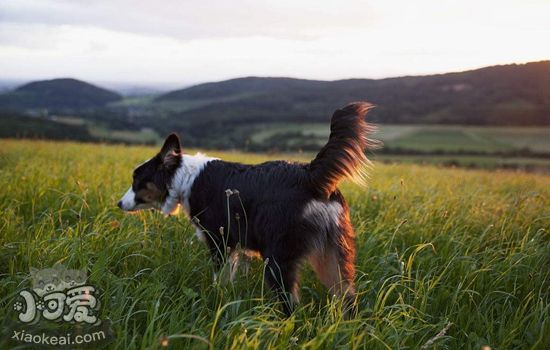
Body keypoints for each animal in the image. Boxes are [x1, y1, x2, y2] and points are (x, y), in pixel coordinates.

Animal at [119, 102, 380, 316]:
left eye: (137, 179)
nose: (119, 203)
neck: (185, 178)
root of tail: (310, 175)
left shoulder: (220, 241)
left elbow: (220, 277)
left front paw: (216, 299)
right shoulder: (237, 246)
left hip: (278, 259)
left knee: (291, 304)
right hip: (332, 254)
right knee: (347, 297)